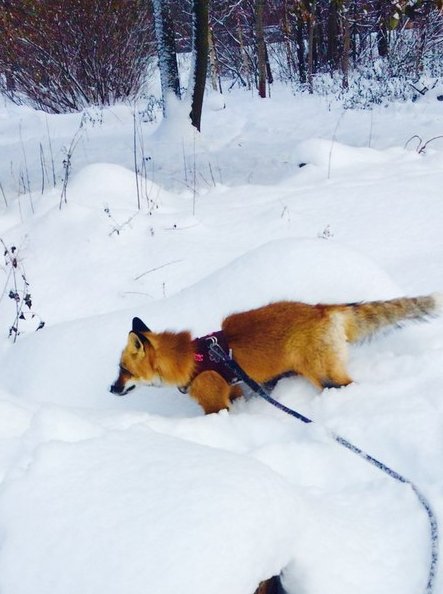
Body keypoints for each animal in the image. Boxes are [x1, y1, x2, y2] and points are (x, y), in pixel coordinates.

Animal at [109, 292, 442, 412]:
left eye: (124, 370)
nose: (111, 389)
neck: (192, 359)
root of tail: (322, 309)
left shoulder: (215, 404)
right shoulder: (234, 390)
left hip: (325, 377)